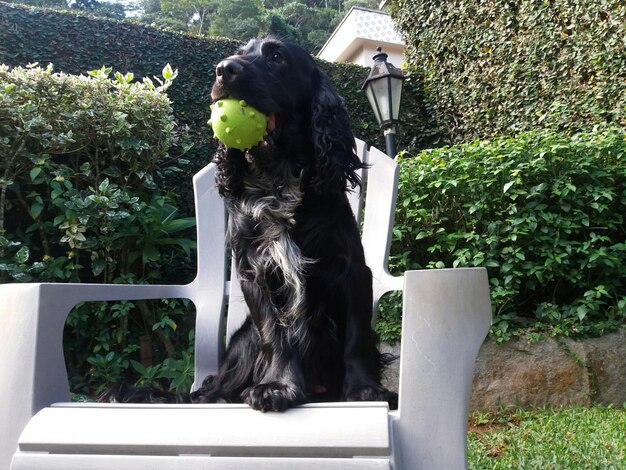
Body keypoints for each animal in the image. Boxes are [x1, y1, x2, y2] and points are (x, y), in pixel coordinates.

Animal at [102, 36, 394, 412]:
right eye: (239, 53)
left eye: (277, 57)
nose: (224, 69)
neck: (277, 180)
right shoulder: (254, 270)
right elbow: (274, 333)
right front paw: (277, 386)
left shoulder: (352, 269)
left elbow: (356, 336)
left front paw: (363, 388)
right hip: (242, 344)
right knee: (218, 389)